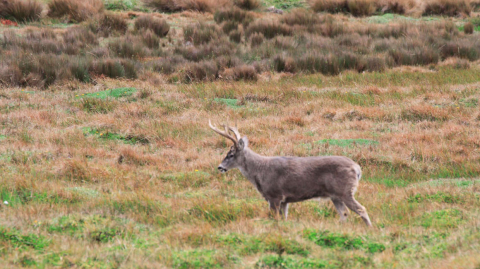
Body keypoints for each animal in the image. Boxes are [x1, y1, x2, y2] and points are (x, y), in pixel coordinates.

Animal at [209, 120, 372, 226]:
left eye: (231, 154)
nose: (220, 167)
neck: (259, 172)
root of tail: (357, 168)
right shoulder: (284, 200)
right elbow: (284, 219)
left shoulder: (274, 195)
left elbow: (275, 219)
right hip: (335, 195)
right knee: (344, 214)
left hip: (345, 191)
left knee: (362, 209)